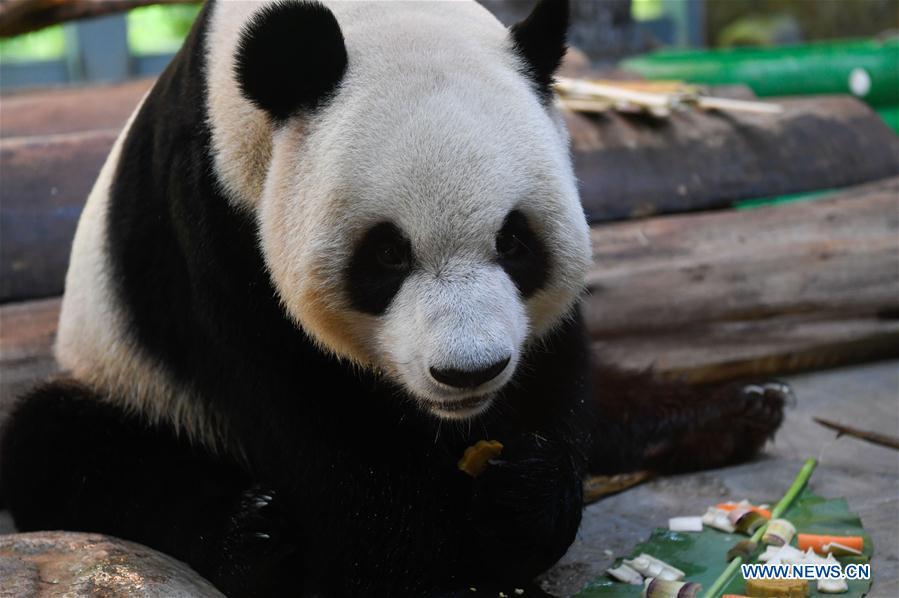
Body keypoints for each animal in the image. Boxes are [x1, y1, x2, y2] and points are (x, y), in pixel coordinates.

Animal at [0, 0, 788, 596]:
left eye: (514, 241)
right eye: (386, 253)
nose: (469, 372)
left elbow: (558, 374)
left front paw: (522, 503)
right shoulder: (218, 217)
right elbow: (324, 432)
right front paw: (440, 576)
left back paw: (733, 410)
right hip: (133, 379)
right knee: (62, 445)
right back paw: (252, 536)